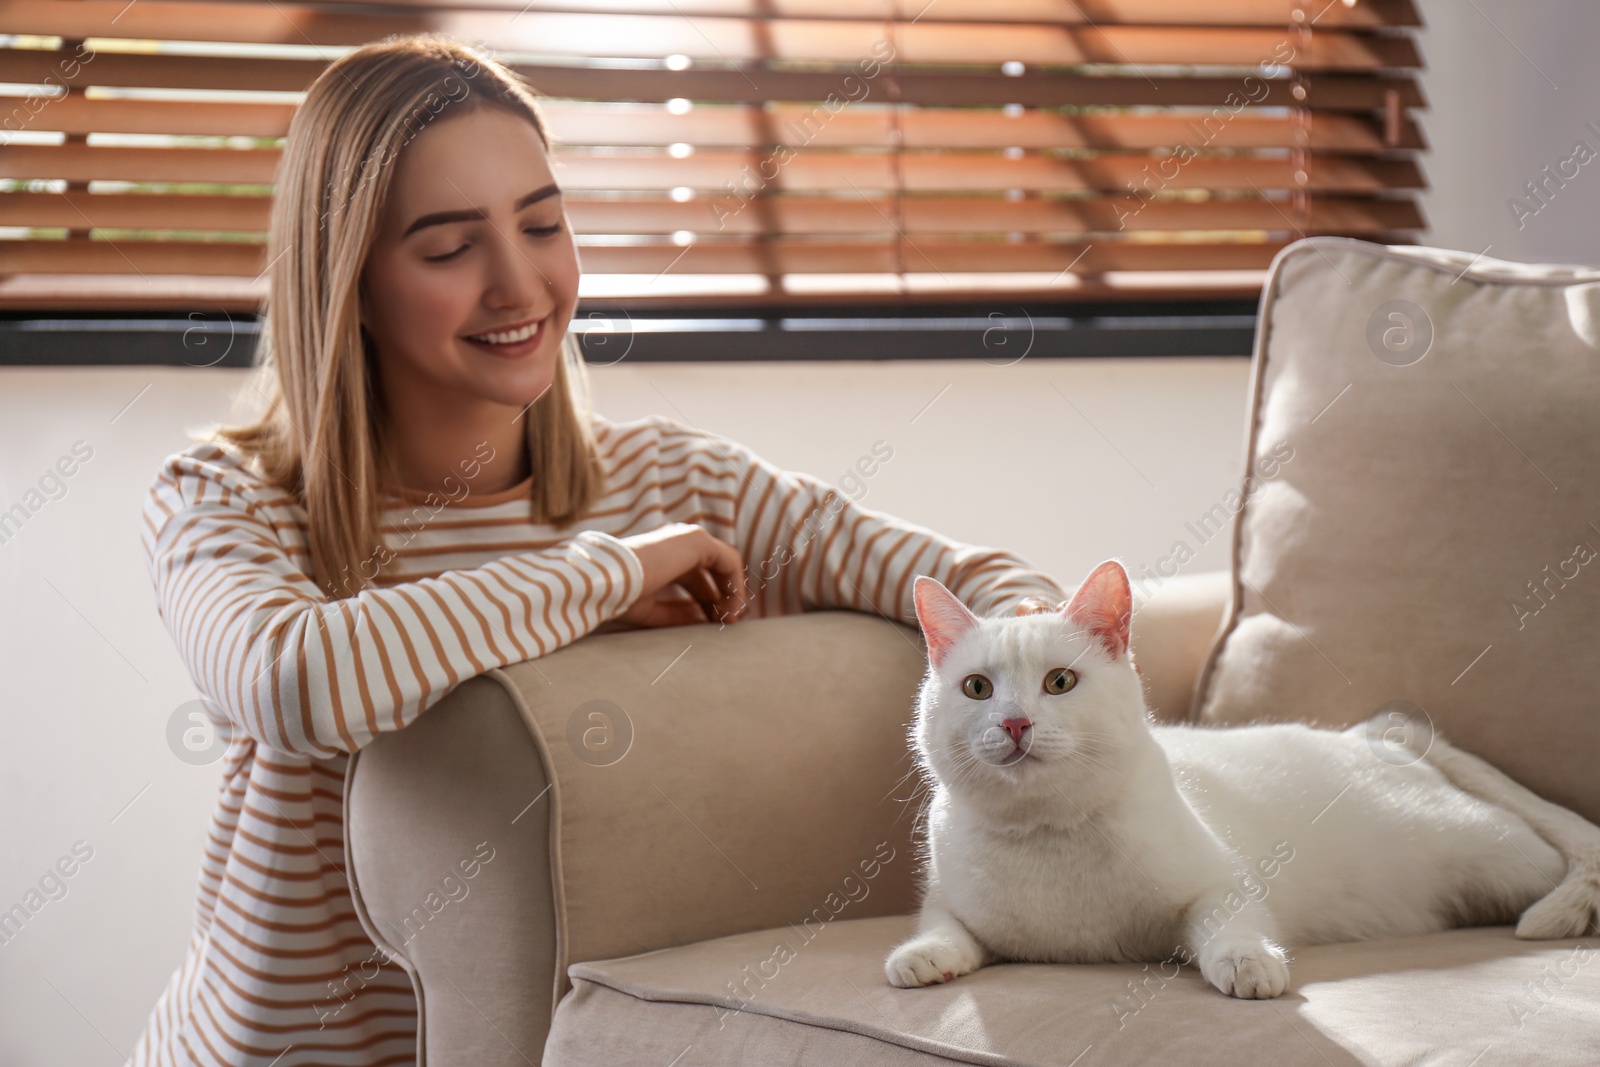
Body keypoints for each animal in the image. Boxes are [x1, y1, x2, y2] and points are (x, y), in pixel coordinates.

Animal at [883, 563, 1600, 998]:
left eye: (1059, 681)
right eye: (977, 688)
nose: (1014, 722)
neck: (1046, 835)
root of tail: (1371, 735)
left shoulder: (1221, 882)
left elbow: (1225, 925)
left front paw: (1249, 964)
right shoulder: (946, 898)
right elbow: (942, 925)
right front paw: (920, 957)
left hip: (1496, 856)